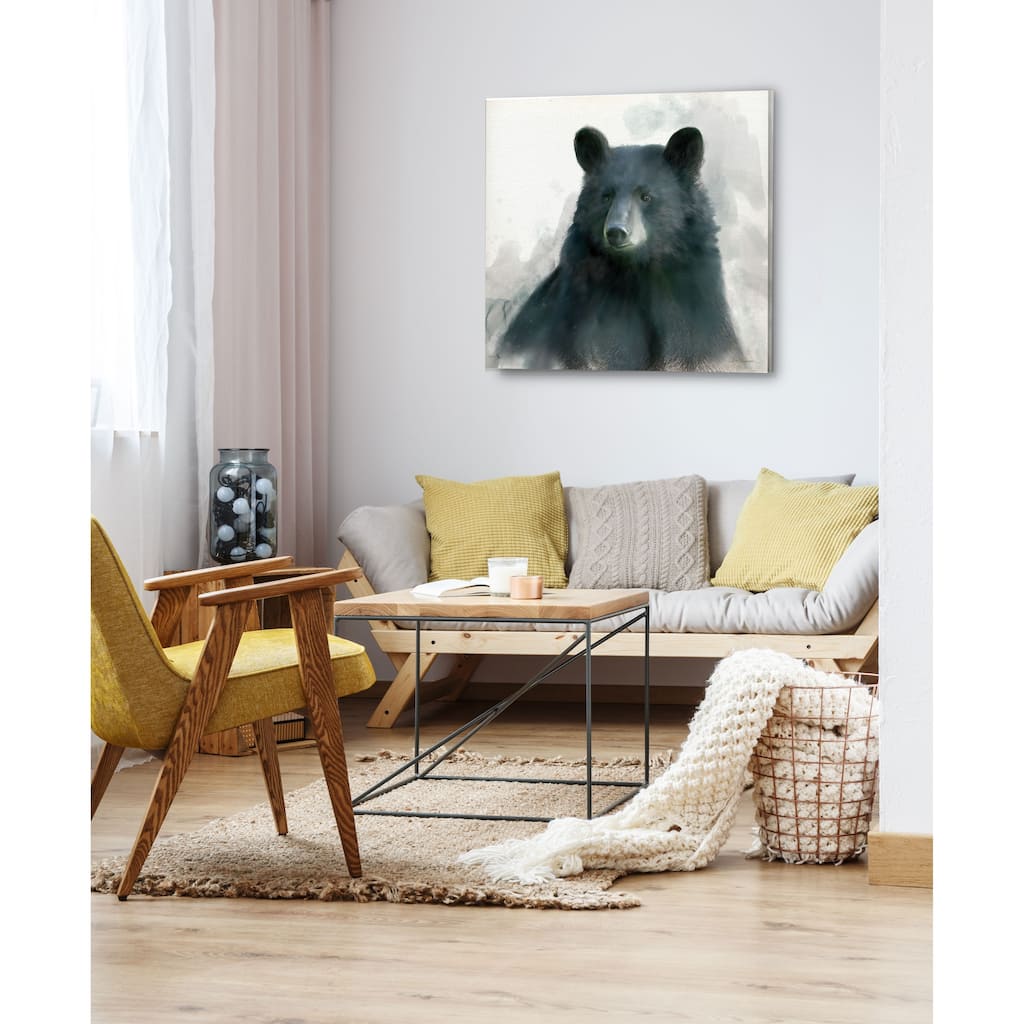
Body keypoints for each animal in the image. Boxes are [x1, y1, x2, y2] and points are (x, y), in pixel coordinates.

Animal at [497, 126, 743, 371]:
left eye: (646, 196)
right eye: (606, 196)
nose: (616, 231)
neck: (639, 270)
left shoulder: (692, 300)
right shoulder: (588, 308)